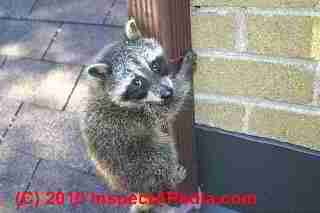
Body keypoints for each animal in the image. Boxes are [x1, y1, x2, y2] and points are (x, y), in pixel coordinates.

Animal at [80, 19, 195, 212]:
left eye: (155, 65)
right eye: (137, 82)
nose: (167, 93)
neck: (103, 87)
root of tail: (142, 191)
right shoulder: (140, 113)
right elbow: (169, 108)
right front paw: (184, 74)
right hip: (140, 160)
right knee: (161, 152)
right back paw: (170, 179)